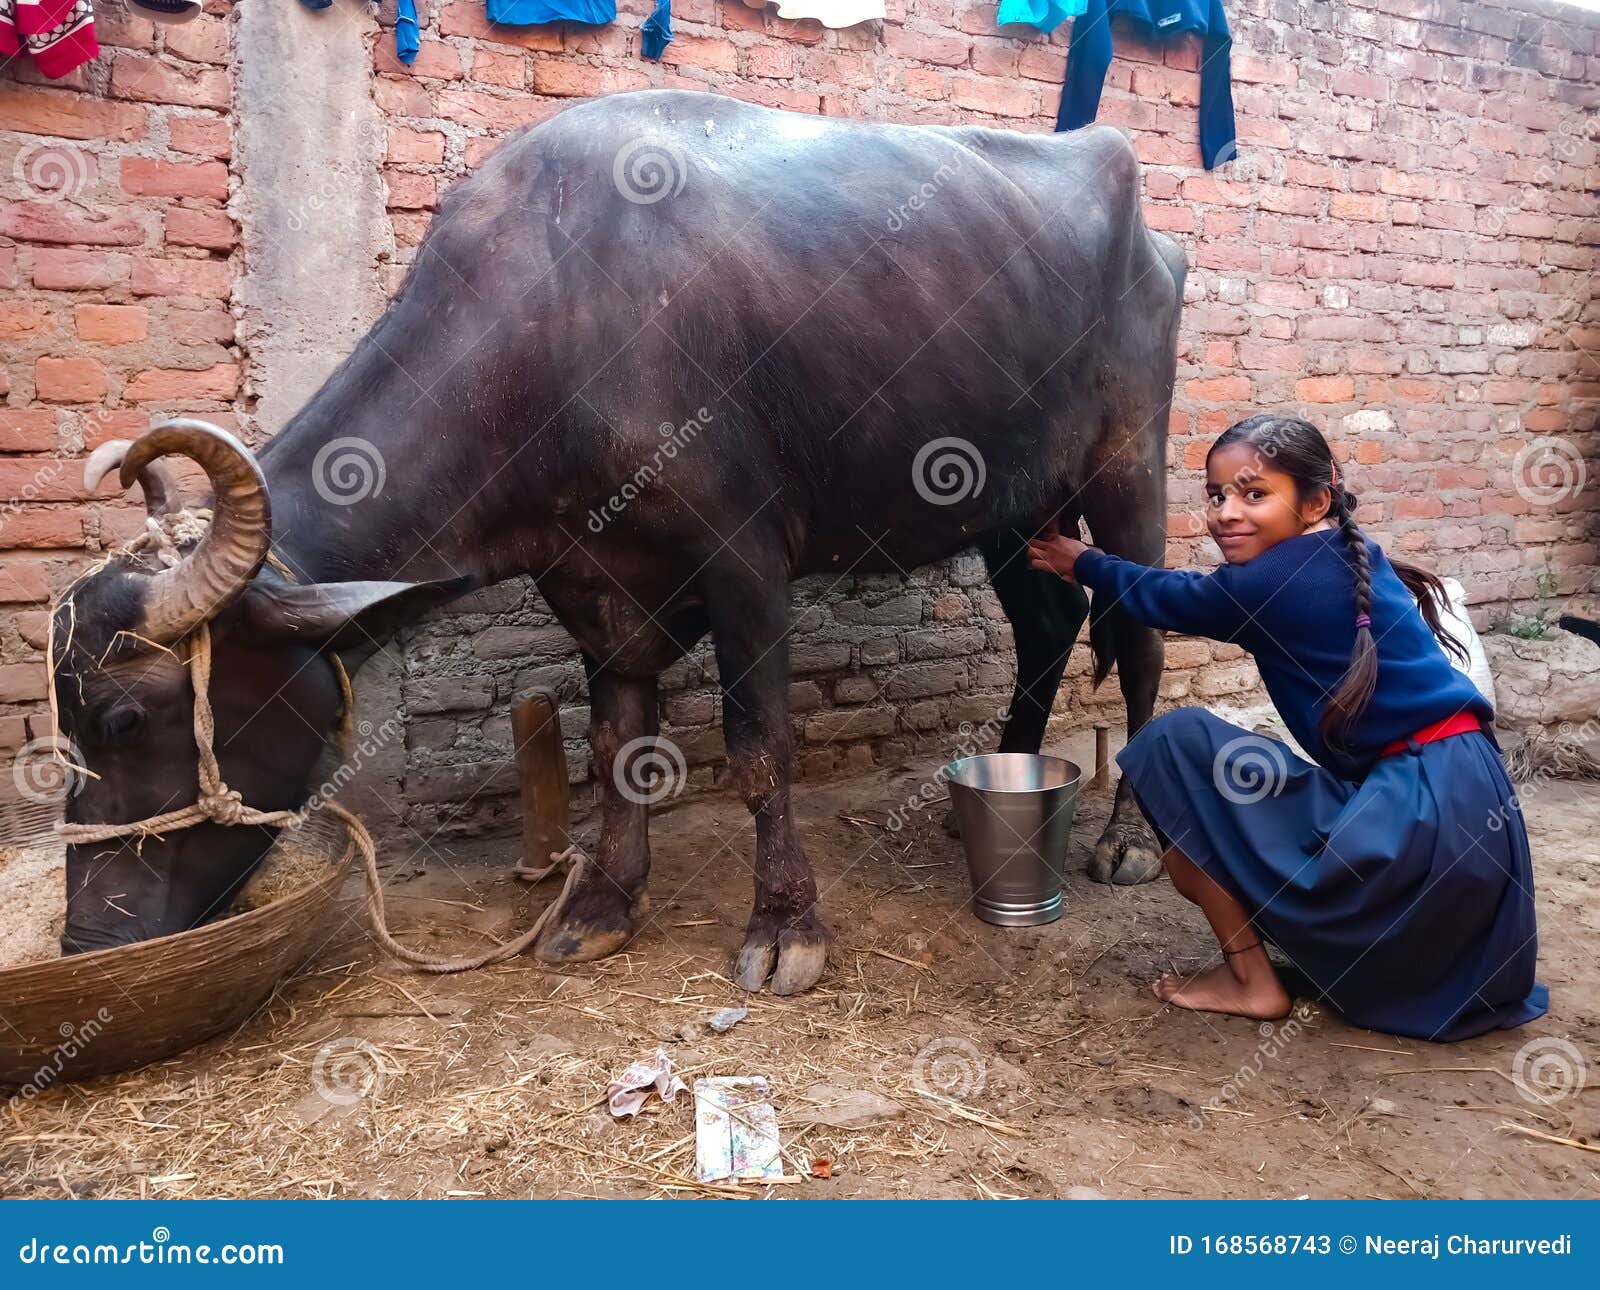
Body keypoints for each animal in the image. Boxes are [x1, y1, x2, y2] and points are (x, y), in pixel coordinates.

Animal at [50, 90, 1184, 992]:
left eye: (119, 719)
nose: (86, 940)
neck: (556, 319)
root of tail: (1153, 238)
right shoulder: (592, 581)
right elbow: (615, 747)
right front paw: (602, 905)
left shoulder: (746, 561)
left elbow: (757, 748)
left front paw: (785, 927)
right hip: (1016, 506)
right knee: (1049, 621)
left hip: (1128, 466)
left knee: (1139, 639)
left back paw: (1128, 840)